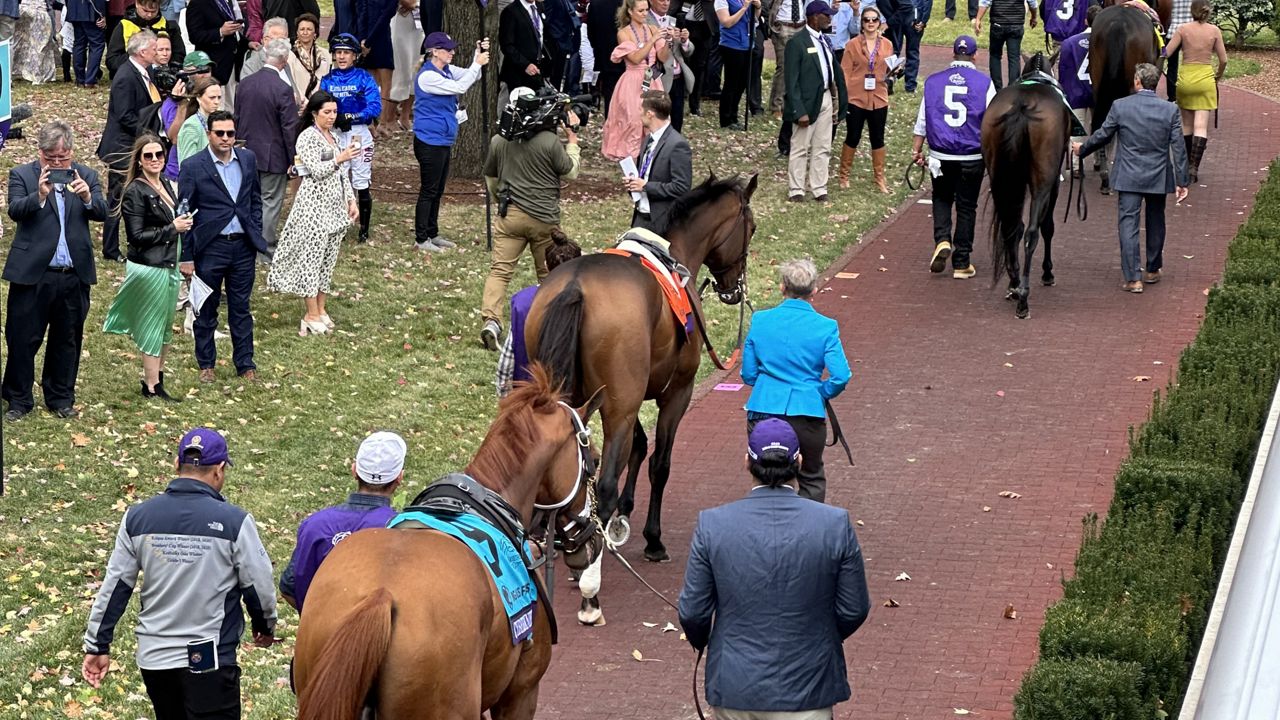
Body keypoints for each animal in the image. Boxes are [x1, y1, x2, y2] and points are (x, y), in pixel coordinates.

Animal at [522, 172, 752, 622]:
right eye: (750, 228)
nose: (734, 289)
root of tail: (574, 286)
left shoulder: (616, 399)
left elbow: (638, 448)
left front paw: (621, 518)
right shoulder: (671, 394)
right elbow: (659, 462)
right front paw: (652, 538)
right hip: (622, 405)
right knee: (606, 482)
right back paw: (589, 584)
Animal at [983, 51, 1075, 315]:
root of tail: (1021, 106)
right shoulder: (1053, 183)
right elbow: (1047, 226)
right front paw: (1047, 272)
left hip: (999, 179)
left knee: (1010, 228)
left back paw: (1014, 284)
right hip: (1042, 180)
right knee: (1032, 232)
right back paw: (1023, 296)